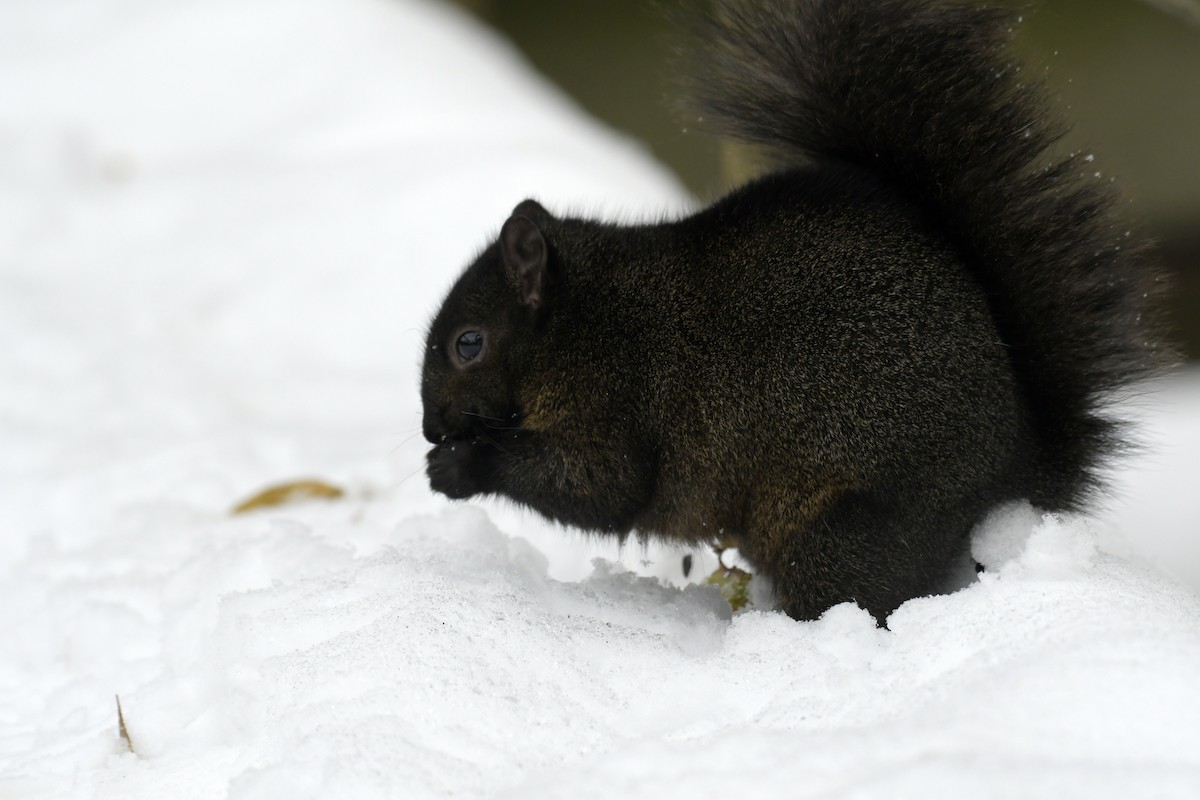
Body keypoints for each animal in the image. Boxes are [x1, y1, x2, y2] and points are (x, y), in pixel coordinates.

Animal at [419, 0, 1170, 623]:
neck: (578, 322)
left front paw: (462, 467)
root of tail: (1021, 462)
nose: (430, 429)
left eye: (468, 343)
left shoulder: (618, 398)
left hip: (835, 523)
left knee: (863, 596)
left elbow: (602, 486)